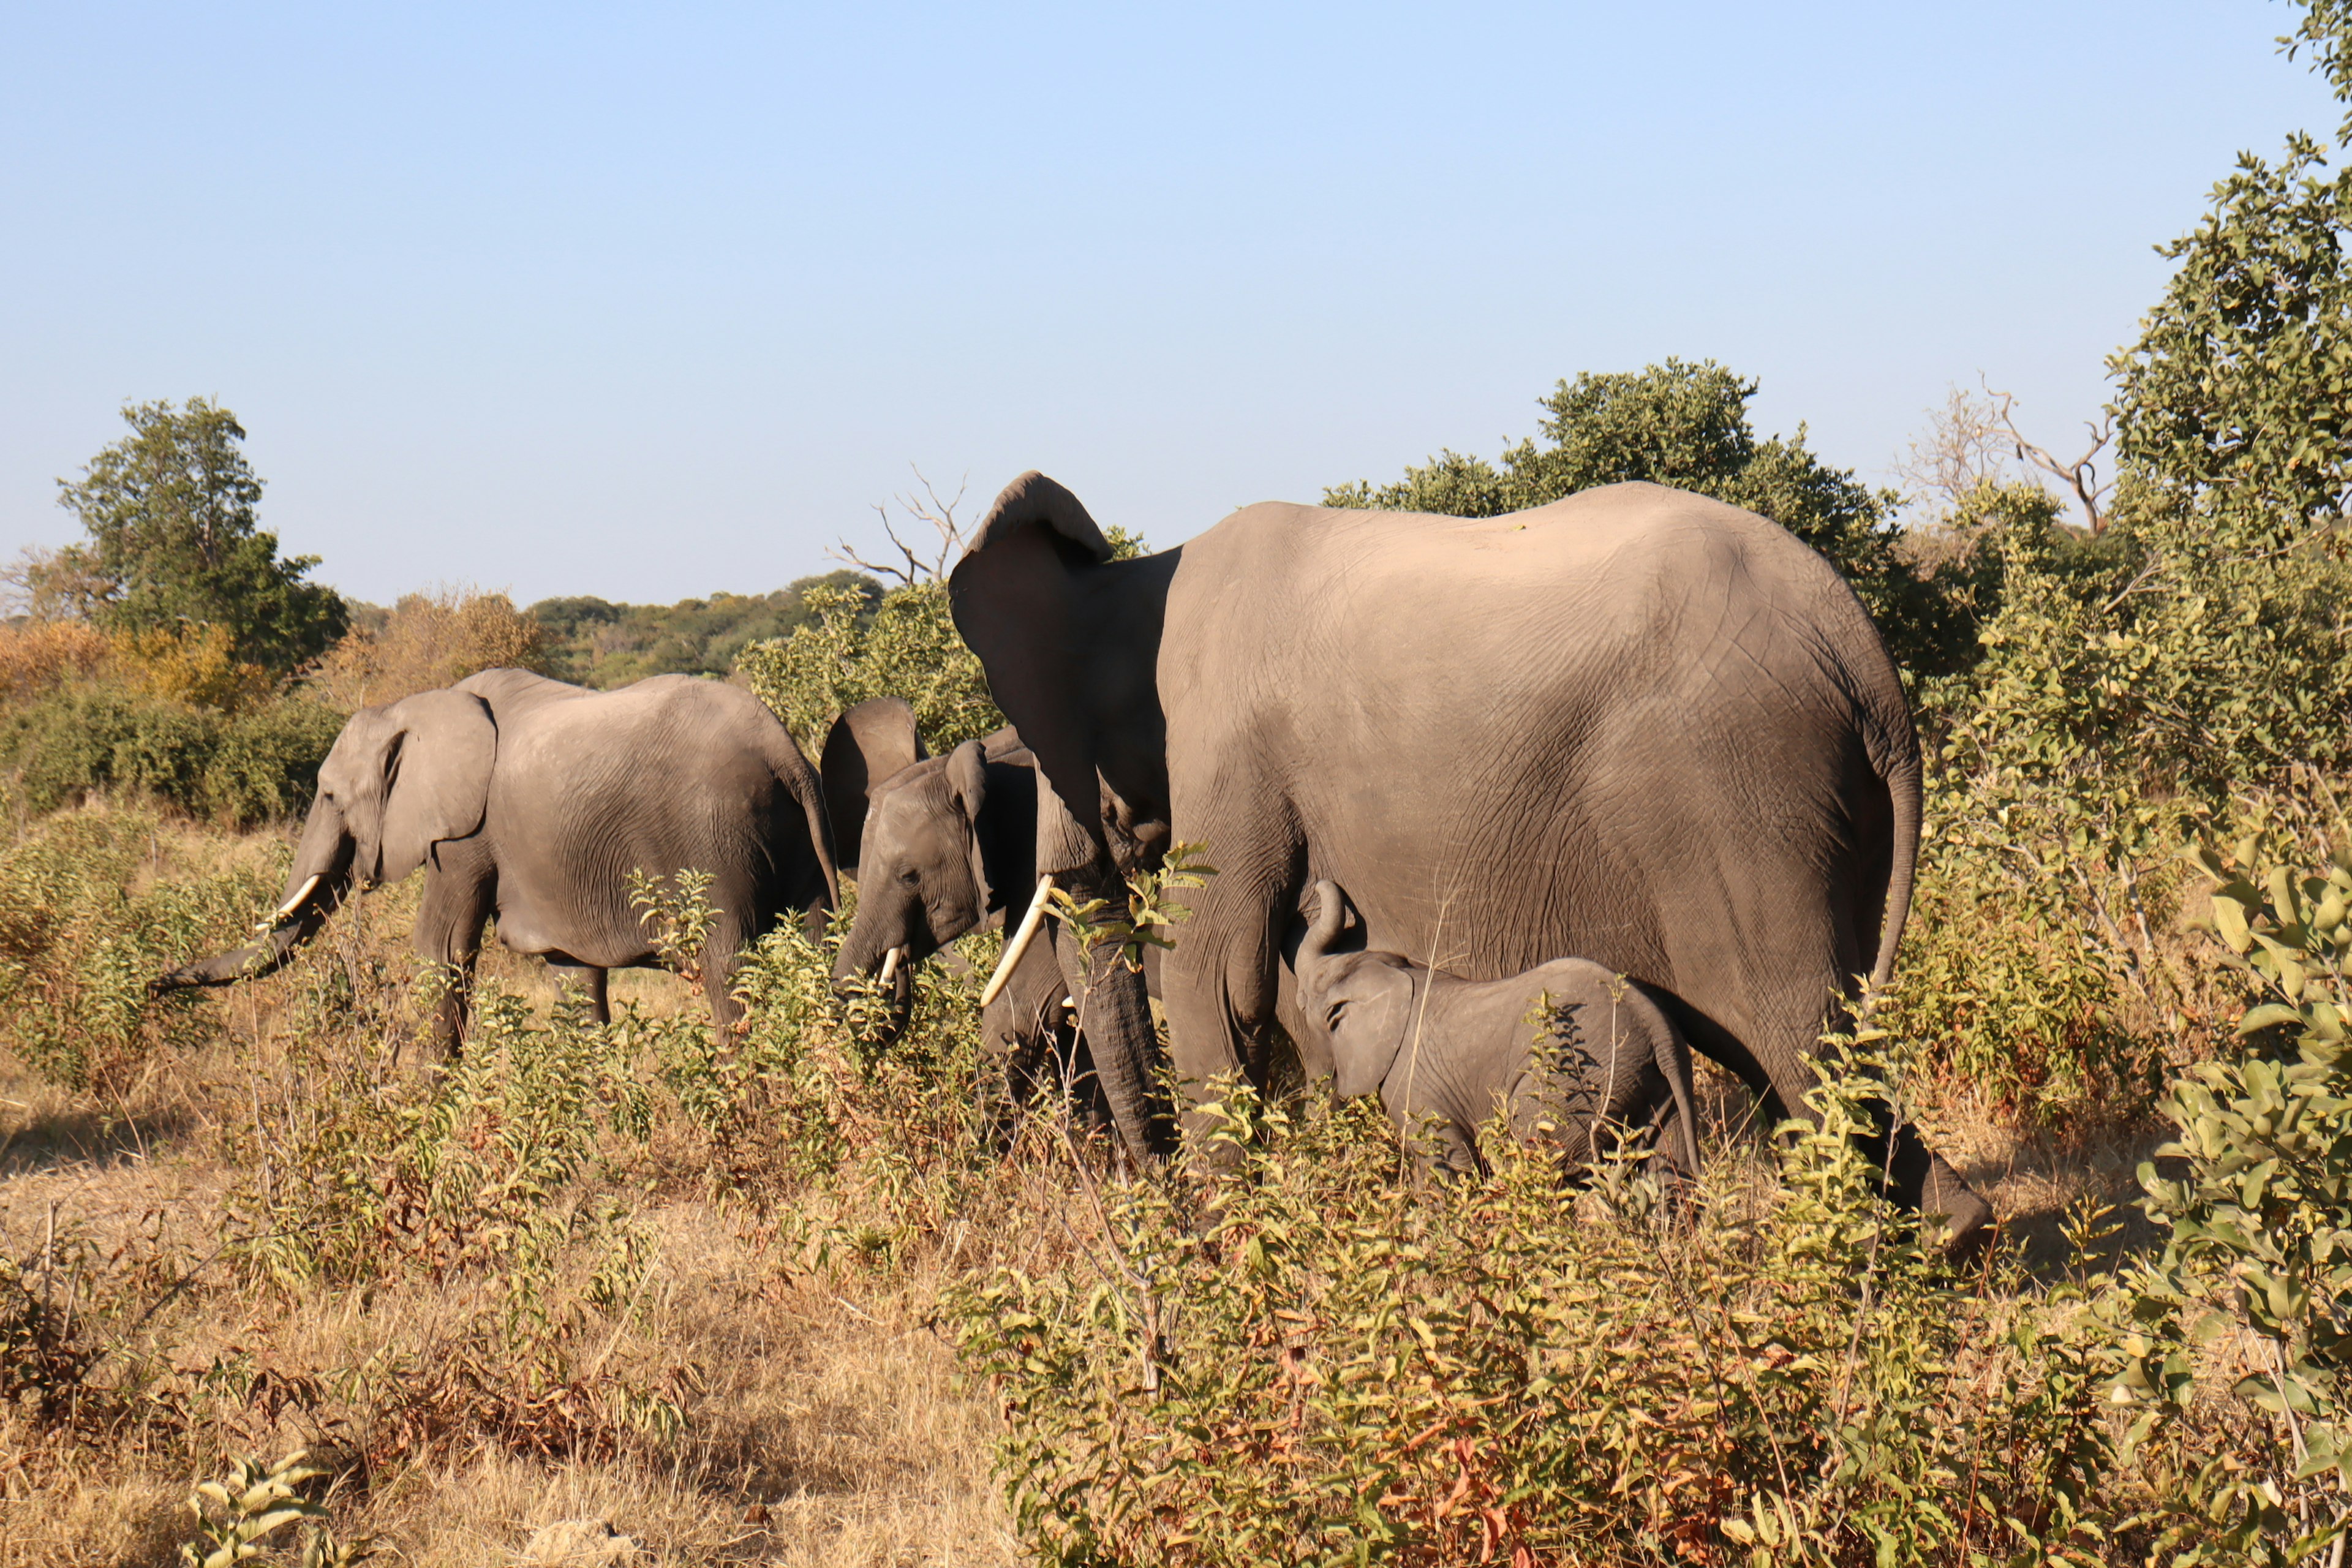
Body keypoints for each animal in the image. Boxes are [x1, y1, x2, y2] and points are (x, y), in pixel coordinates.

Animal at [156, 668, 842, 1053]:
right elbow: (572, 977)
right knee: (815, 947)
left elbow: (442, 950)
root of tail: (783, 750)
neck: (416, 707)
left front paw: (427, 1114)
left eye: (328, 795)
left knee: (728, 967)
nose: (157, 983)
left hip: (712, 837)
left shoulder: (465, 837)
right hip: (794, 843)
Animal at [1298, 884, 1703, 1175]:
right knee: (1668, 1174)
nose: (1320, 884)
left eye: (1303, 1006)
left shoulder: (1412, 1084)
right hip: (1653, 1086)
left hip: (1578, 1084)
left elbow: (1446, 1165)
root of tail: (1658, 1030)